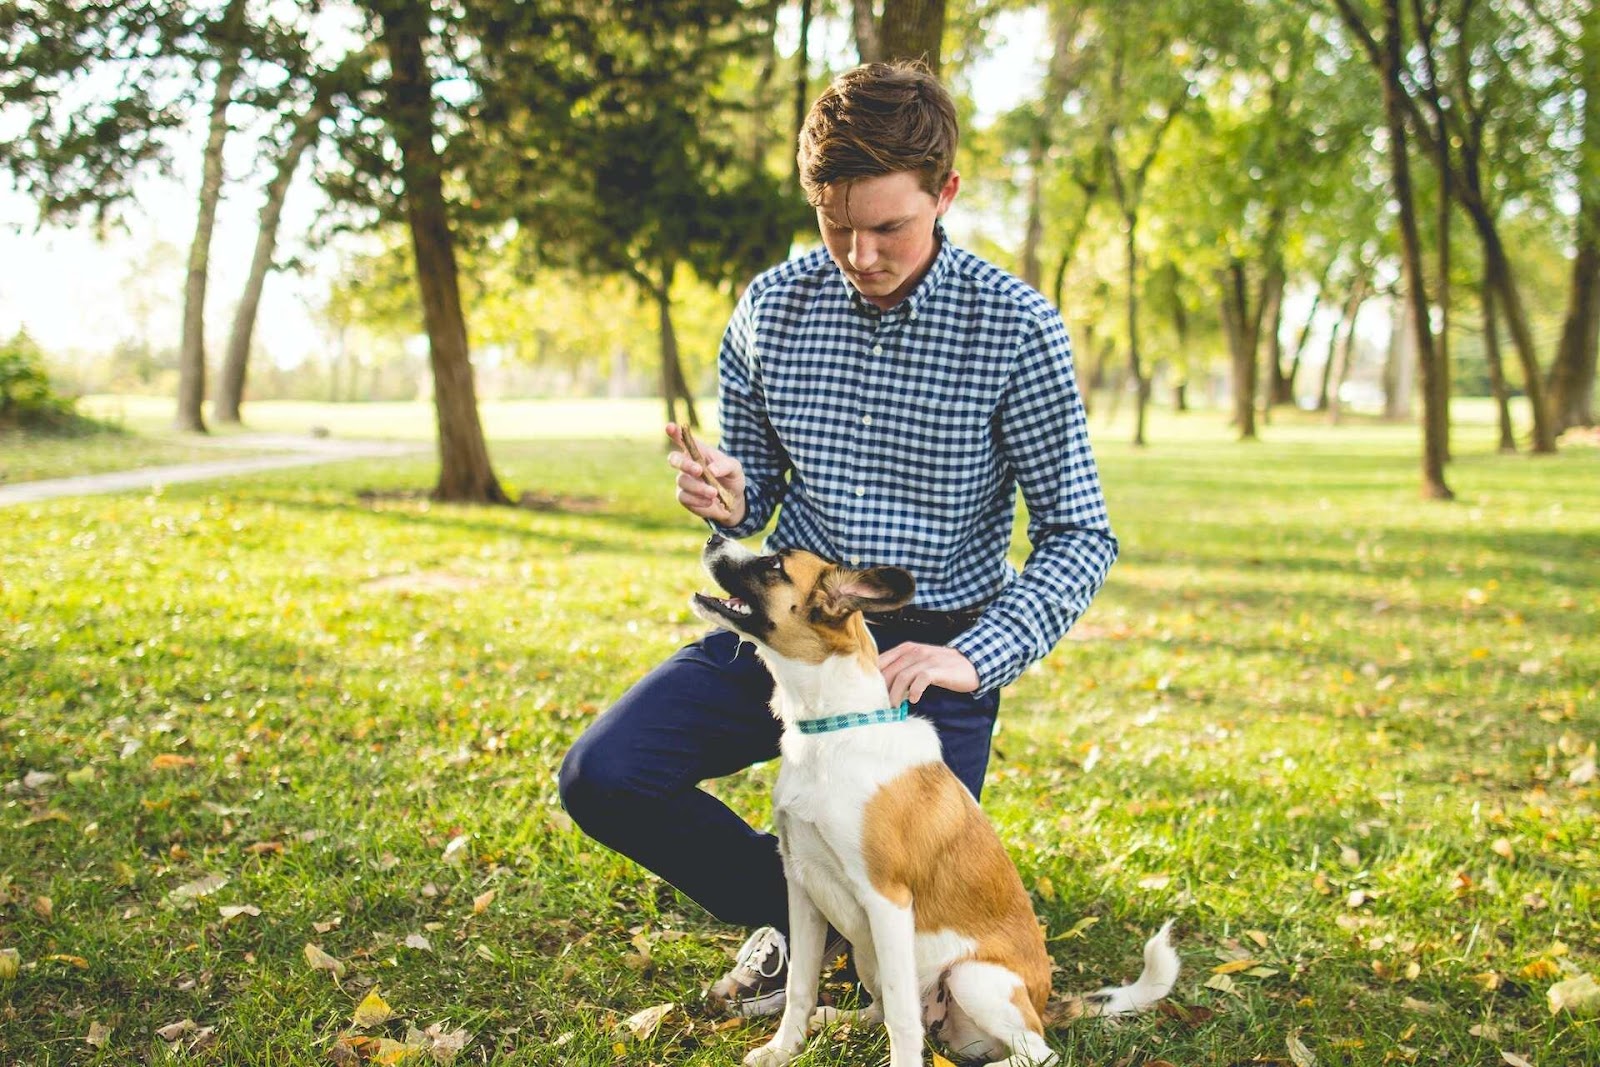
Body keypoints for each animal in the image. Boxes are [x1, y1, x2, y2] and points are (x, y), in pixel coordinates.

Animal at [694, 537, 1184, 1067]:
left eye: (774, 563)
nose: (712, 537)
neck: (833, 731)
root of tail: (1042, 1004)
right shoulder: (803, 888)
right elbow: (802, 987)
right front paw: (783, 1049)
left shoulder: (886, 901)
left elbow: (902, 1019)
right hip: (871, 954)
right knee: (885, 1008)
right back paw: (838, 1018)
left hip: (973, 978)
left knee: (1036, 1051)